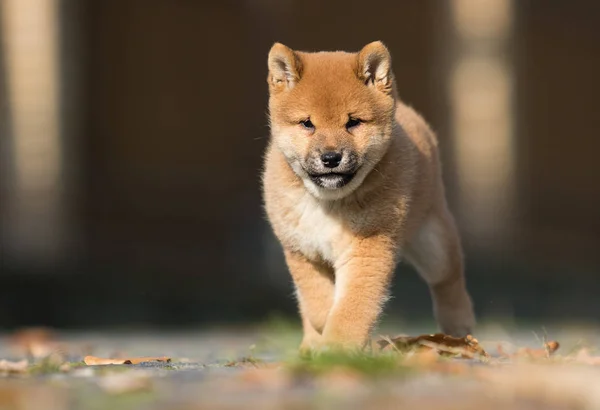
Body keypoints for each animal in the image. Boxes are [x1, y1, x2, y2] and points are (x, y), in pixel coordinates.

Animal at [262, 40, 474, 350]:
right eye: (307, 123)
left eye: (353, 122)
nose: (330, 157)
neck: (328, 202)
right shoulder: (303, 252)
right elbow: (318, 303)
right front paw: (323, 340)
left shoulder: (368, 249)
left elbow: (352, 307)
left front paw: (336, 349)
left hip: (433, 242)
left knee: (449, 281)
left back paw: (459, 329)